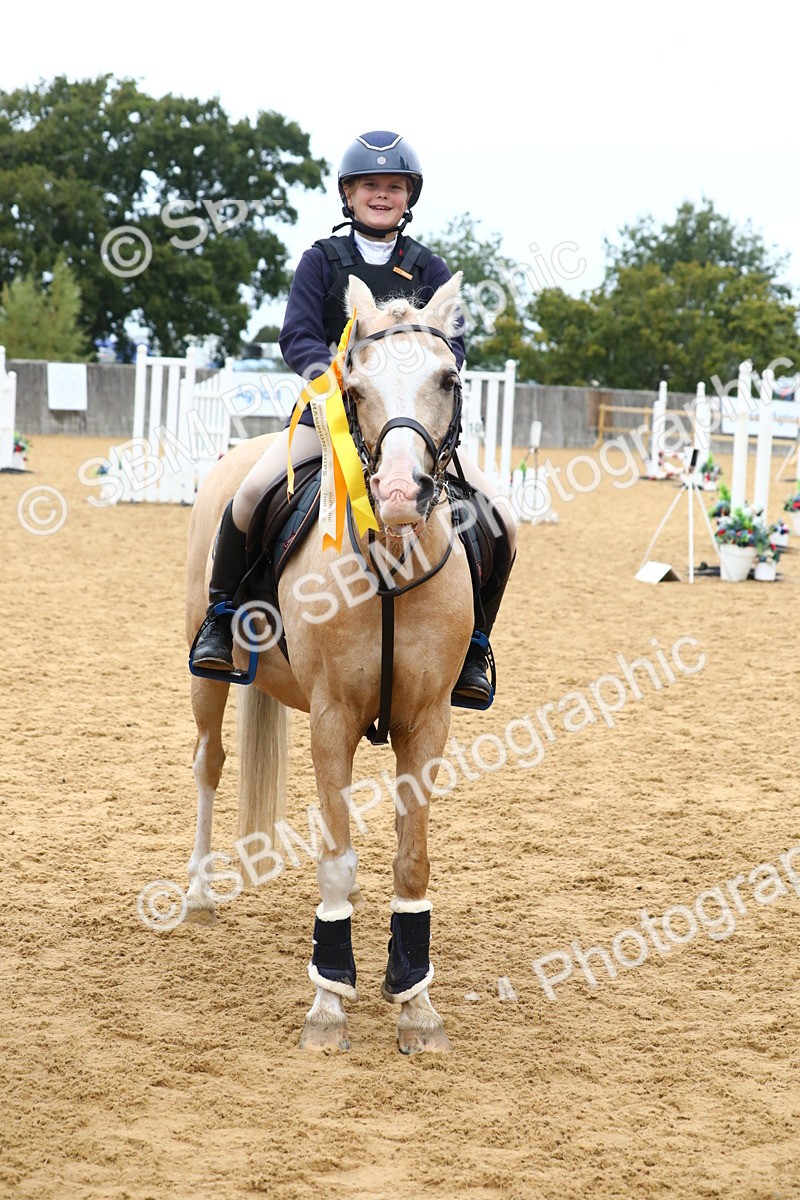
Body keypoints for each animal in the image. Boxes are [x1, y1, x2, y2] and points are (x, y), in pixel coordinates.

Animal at [184, 272, 474, 1053]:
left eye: (447, 378)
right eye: (356, 385)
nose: (402, 494)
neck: (390, 558)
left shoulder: (427, 722)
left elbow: (412, 857)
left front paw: (416, 1003)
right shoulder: (332, 719)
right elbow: (336, 859)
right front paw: (329, 1001)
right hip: (204, 677)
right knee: (209, 764)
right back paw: (197, 894)